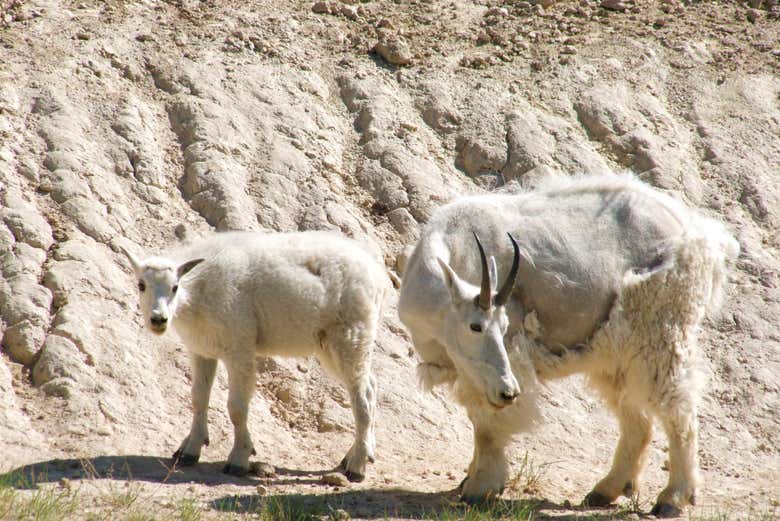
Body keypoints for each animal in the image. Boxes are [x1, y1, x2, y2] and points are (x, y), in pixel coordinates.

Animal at [122, 231, 389, 481]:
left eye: (174, 287)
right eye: (141, 285)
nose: (158, 320)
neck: (198, 292)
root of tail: (379, 275)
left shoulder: (239, 349)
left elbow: (237, 408)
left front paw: (240, 459)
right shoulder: (201, 351)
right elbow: (198, 398)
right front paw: (190, 450)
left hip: (351, 336)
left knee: (362, 400)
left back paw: (357, 466)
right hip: (334, 346)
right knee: (372, 385)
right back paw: (359, 454)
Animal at [398, 174, 739, 517]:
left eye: (505, 325)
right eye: (475, 326)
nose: (509, 391)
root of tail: (697, 231)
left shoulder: (509, 358)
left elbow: (488, 426)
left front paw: (480, 489)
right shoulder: (471, 370)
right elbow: (476, 415)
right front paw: (469, 478)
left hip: (661, 331)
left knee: (678, 409)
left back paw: (673, 498)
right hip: (616, 353)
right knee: (638, 421)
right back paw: (606, 490)